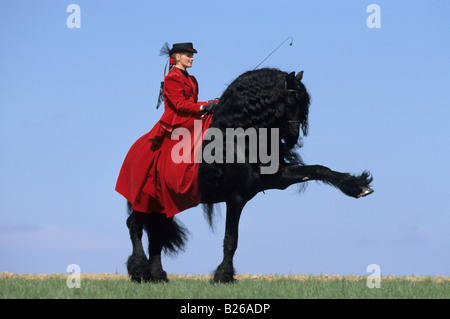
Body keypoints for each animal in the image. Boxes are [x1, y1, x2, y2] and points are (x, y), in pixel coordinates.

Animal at [125, 69, 372, 284]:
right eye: (291, 100)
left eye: (305, 102)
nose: (293, 138)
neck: (238, 138)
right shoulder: (236, 197)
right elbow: (231, 240)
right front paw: (223, 276)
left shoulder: (276, 178)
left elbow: (319, 169)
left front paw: (357, 186)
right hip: (145, 200)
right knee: (135, 226)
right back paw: (139, 271)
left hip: (162, 204)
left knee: (155, 233)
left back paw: (157, 275)